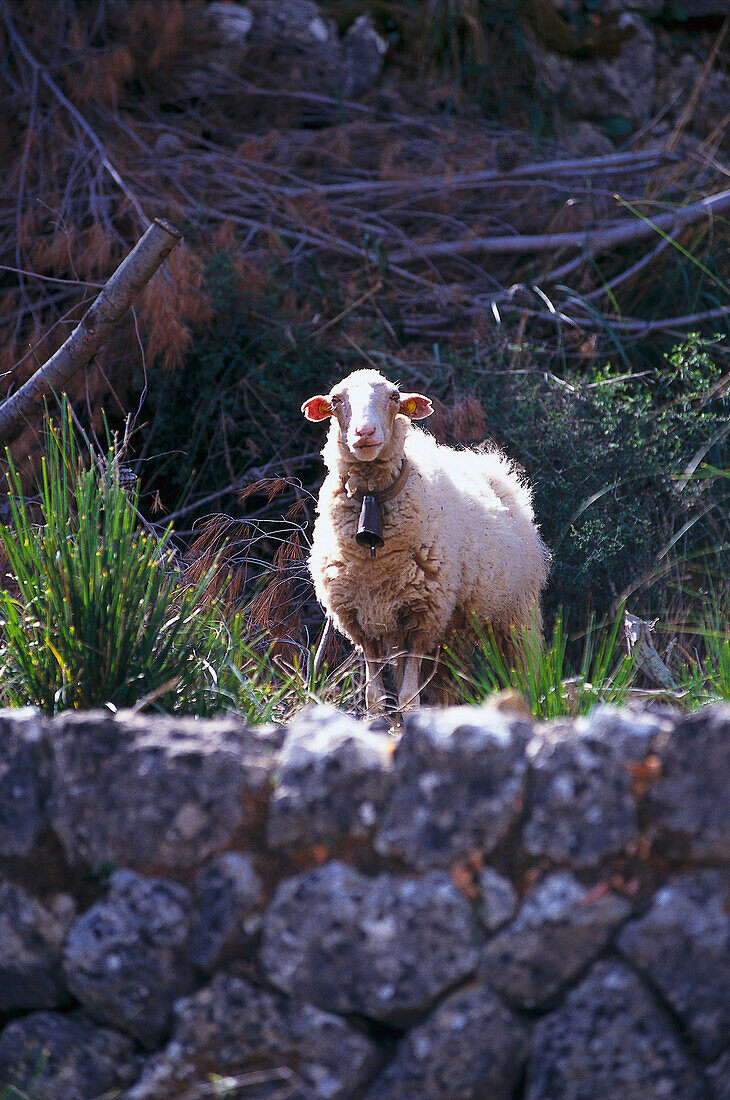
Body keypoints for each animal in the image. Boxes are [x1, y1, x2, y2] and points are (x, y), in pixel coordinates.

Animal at [301, 369, 547, 712]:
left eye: (393, 396)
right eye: (336, 400)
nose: (364, 433)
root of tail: (490, 463)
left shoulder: (422, 616)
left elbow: (408, 697)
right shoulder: (360, 621)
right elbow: (374, 696)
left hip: (515, 613)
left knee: (523, 667)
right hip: (451, 631)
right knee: (449, 684)